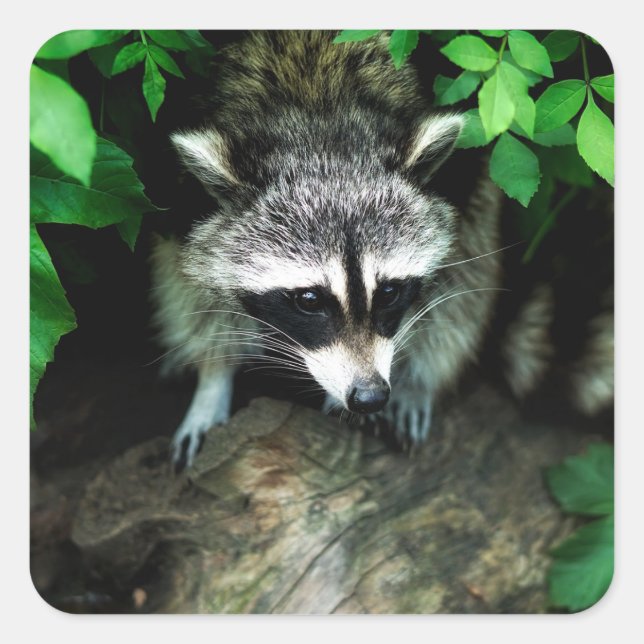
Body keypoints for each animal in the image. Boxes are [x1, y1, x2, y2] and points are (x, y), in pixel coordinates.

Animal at [150, 31, 612, 470]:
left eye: (389, 292)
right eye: (309, 300)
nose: (370, 396)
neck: (317, 115)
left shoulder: (460, 177)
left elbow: (458, 276)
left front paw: (415, 380)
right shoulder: (183, 197)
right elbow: (192, 285)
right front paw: (213, 379)